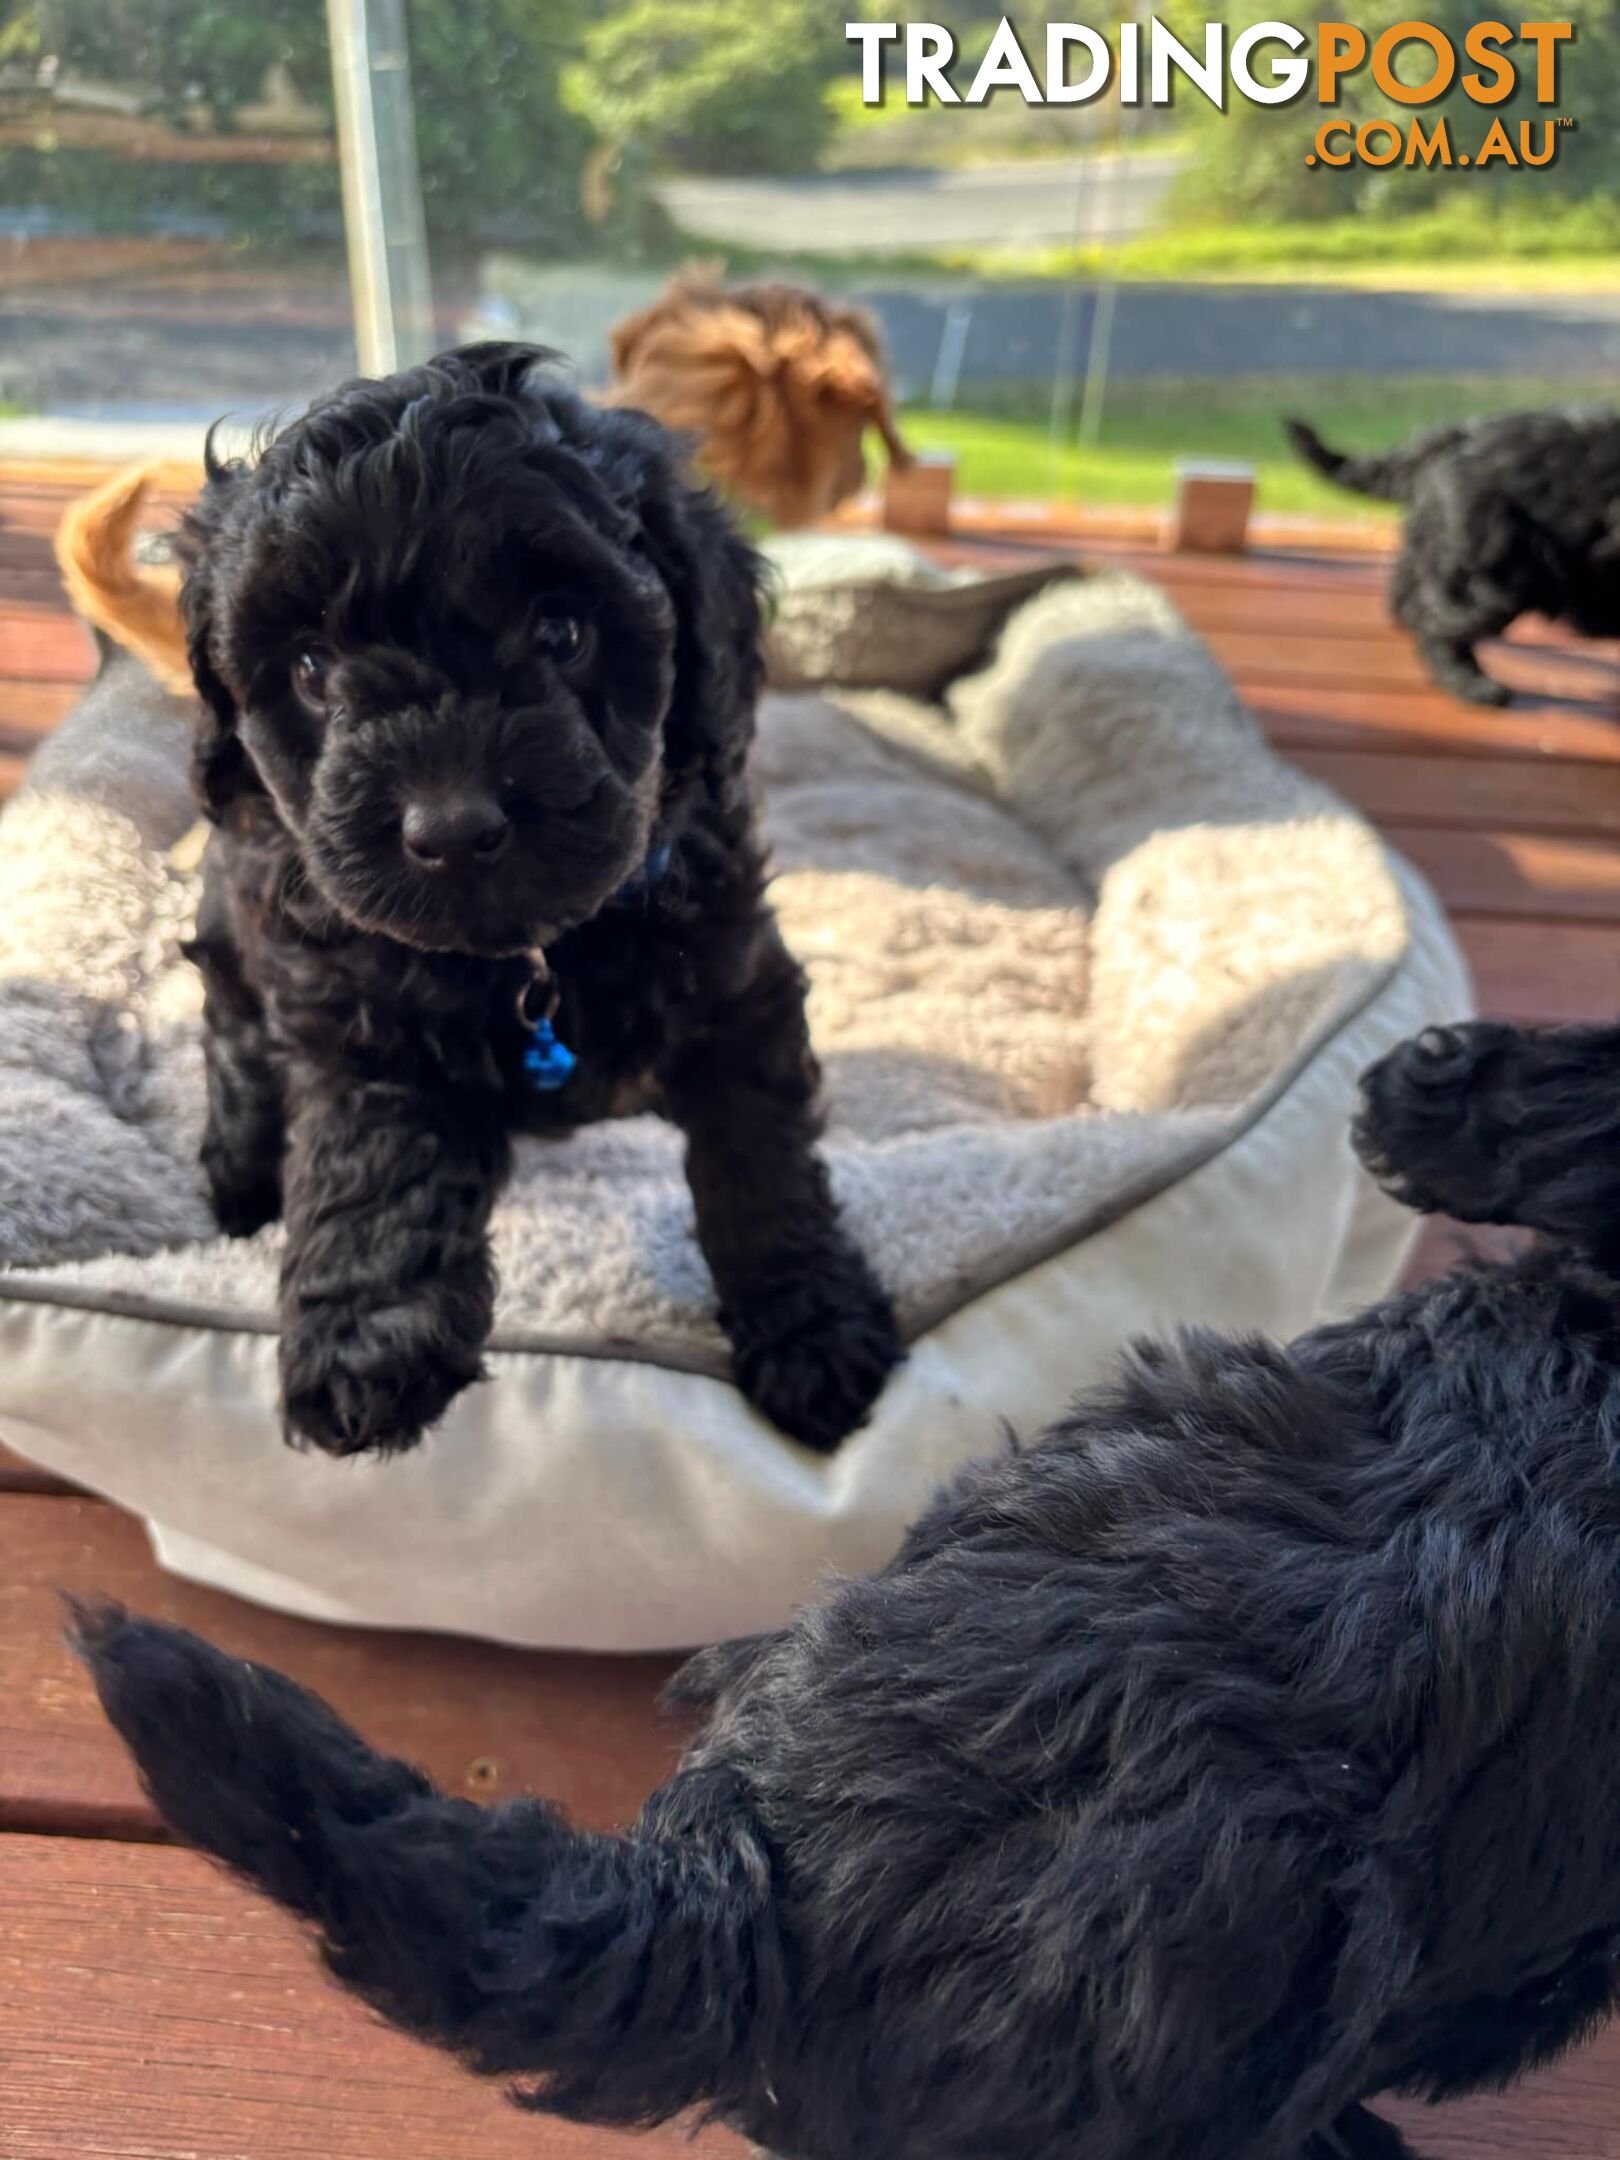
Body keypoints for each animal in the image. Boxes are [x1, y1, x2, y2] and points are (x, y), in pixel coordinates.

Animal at [174, 341, 902, 1451]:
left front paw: (811, 1327)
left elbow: (760, 1160)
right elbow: (372, 1157)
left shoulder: (738, 984)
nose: (451, 826)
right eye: (309, 668)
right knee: (239, 1053)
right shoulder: (359, 1013)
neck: (536, 957)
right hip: (235, 945)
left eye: (561, 632)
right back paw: (241, 1184)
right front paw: (366, 1345)